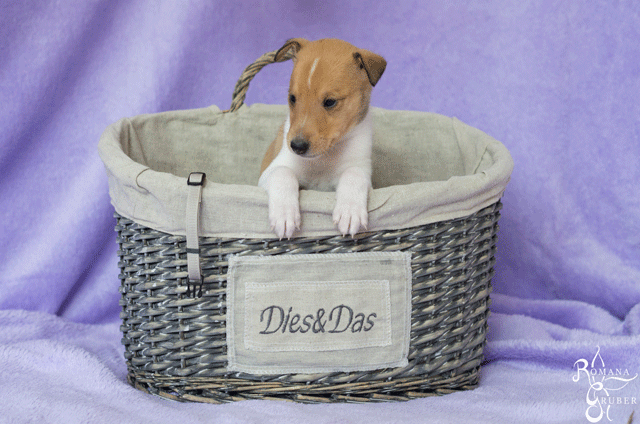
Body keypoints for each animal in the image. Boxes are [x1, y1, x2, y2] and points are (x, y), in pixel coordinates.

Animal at [258, 38, 386, 239]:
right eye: (292, 98)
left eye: (330, 102)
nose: (297, 146)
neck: (323, 159)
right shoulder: (270, 171)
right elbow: (282, 173)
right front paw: (284, 216)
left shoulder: (361, 169)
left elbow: (354, 174)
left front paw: (350, 212)